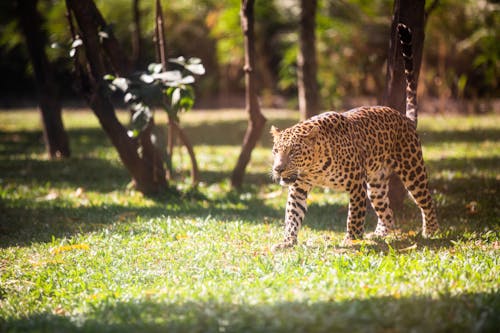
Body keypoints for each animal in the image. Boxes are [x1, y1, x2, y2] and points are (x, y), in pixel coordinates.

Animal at [270, 23, 438, 249]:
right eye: (275, 151)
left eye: (293, 151)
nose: (278, 169)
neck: (314, 168)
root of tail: (405, 118)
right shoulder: (298, 187)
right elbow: (292, 215)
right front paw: (287, 241)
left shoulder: (357, 184)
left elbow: (355, 215)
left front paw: (351, 240)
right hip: (376, 184)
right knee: (387, 211)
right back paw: (378, 234)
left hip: (412, 169)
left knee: (426, 200)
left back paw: (431, 231)